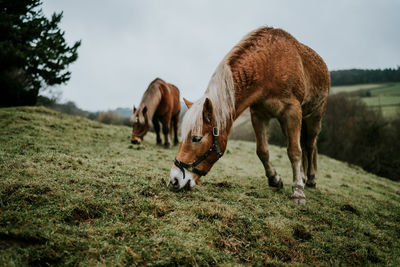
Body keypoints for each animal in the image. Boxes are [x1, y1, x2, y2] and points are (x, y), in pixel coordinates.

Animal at [168, 27, 328, 204]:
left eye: (196, 138)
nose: (174, 180)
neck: (269, 65)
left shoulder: (292, 112)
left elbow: (294, 151)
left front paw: (298, 191)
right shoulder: (258, 115)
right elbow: (262, 151)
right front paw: (275, 179)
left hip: (314, 116)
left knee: (310, 145)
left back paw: (310, 179)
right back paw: (303, 176)